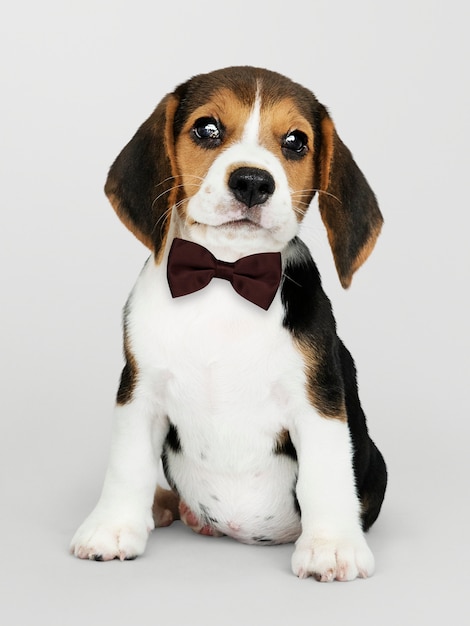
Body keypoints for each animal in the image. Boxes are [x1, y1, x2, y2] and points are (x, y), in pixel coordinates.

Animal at [70, 64, 386, 580]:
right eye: (206, 129)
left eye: (296, 141)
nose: (253, 182)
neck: (225, 273)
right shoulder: (139, 392)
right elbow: (127, 466)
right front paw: (112, 528)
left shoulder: (318, 401)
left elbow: (325, 474)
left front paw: (332, 546)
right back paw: (163, 506)